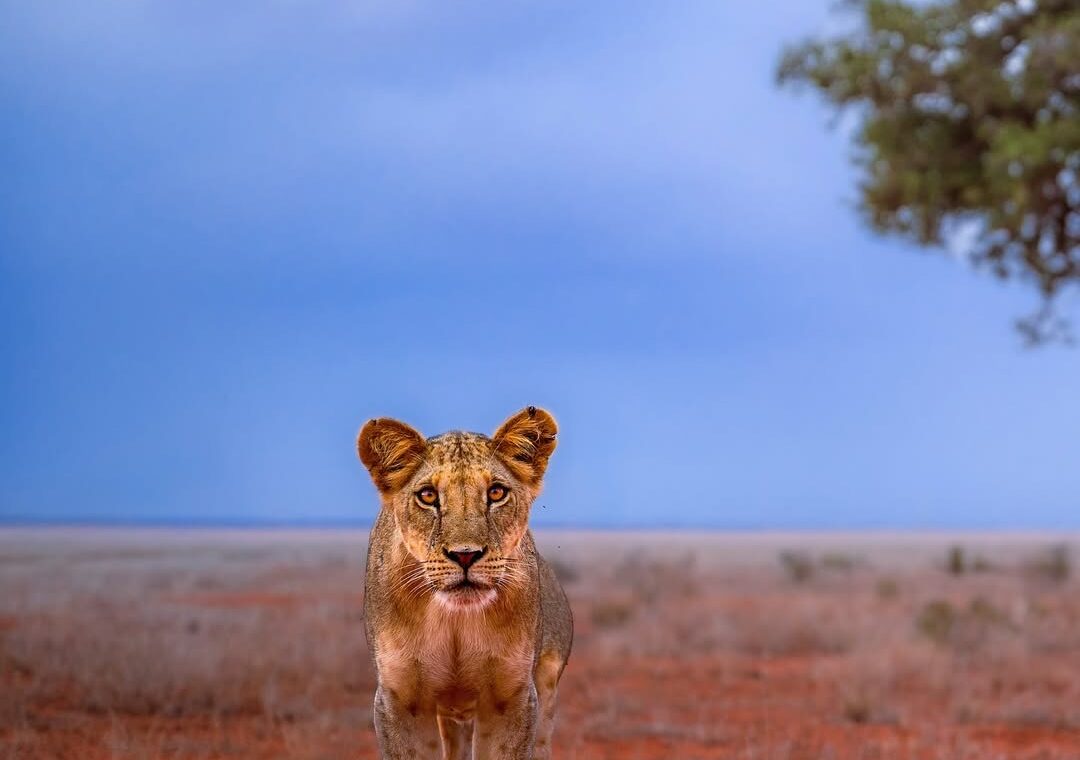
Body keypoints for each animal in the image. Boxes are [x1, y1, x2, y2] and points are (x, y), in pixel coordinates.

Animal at [357, 406, 573, 760]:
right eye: (428, 496)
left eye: (496, 493)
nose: (465, 555)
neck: (454, 621)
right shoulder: (399, 700)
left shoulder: (511, 698)